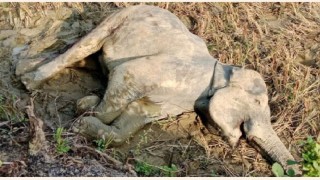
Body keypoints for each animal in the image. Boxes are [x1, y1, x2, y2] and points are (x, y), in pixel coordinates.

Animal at [19, 5, 300, 174]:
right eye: (258, 104)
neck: (223, 69)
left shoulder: (173, 102)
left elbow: (136, 116)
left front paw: (86, 115)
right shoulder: (171, 74)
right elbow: (126, 75)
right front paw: (82, 117)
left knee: (87, 58)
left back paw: (25, 68)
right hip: (119, 16)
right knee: (84, 46)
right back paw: (28, 81)